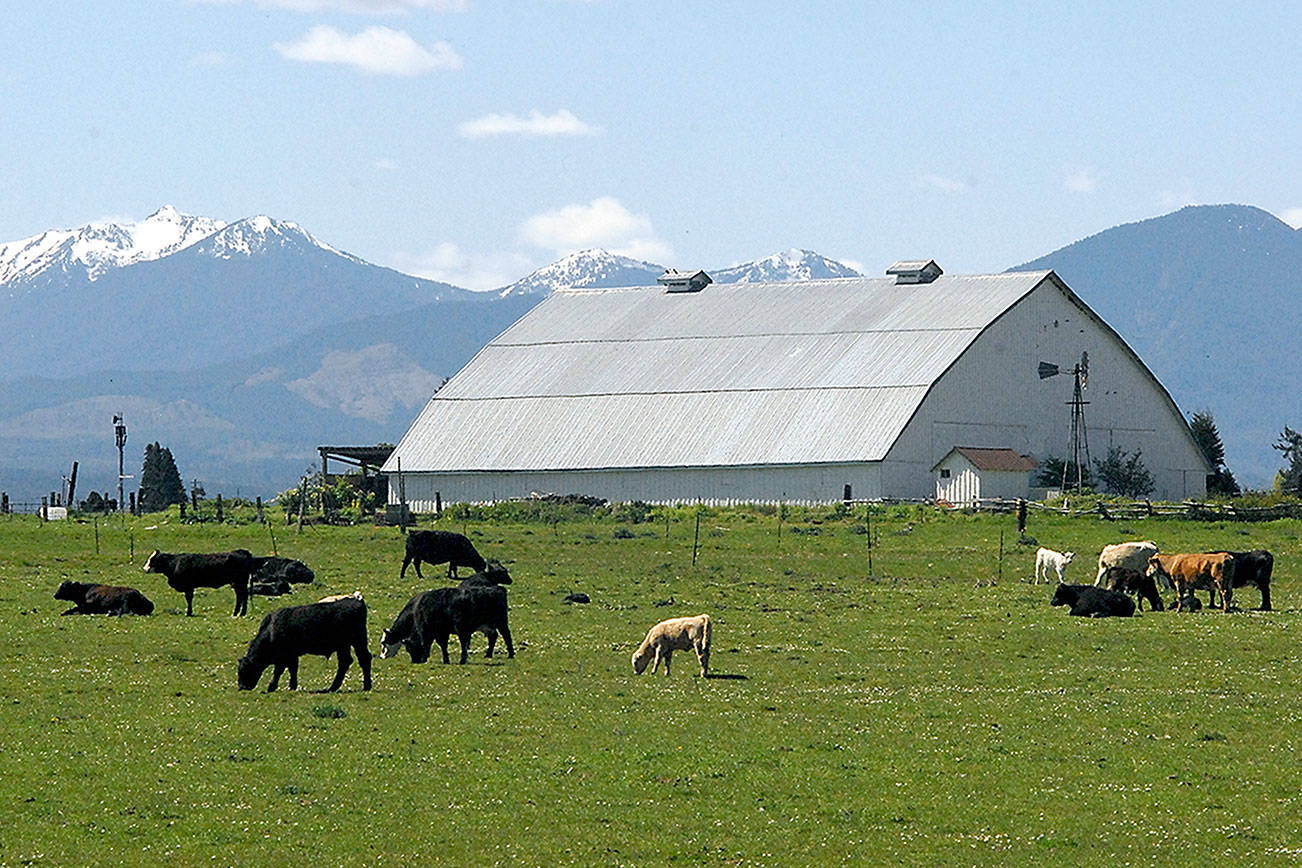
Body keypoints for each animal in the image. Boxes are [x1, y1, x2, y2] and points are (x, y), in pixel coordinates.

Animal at [236, 598, 372, 692]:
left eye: (243, 670)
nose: (241, 687)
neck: (271, 631)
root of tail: (358, 602)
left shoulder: (283, 656)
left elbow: (279, 671)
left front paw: (272, 686)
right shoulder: (292, 655)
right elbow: (293, 669)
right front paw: (292, 686)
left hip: (356, 641)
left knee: (363, 659)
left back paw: (366, 686)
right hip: (345, 645)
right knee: (346, 662)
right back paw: (333, 687)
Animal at [380, 583, 510, 666]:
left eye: (409, 649)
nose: (415, 662)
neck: (417, 608)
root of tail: (497, 588)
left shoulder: (428, 631)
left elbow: (428, 644)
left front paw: (426, 658)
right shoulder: (442, 632)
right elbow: (443, 645)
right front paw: (445, 660)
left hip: (500, 622)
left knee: (505, 635)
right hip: (490, 625)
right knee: (494, 636)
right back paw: (490, 655)